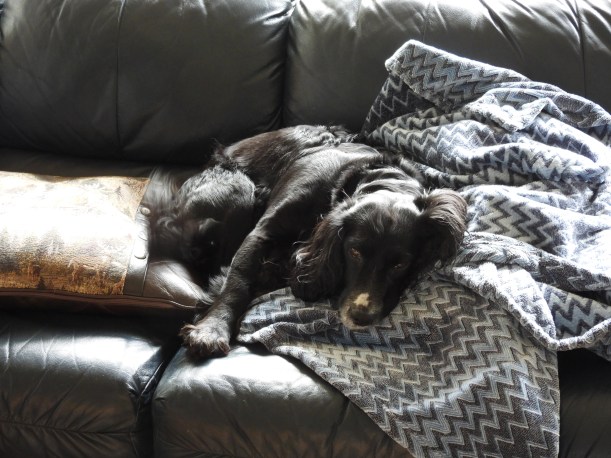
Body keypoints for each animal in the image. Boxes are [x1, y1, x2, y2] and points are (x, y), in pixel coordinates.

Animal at [179, 125, 468, 358]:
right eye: (354, 252)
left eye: (400, 265)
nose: (361, 316)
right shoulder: (262, 231)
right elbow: (238, 279)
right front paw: (212, 330)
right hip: (240, 189)